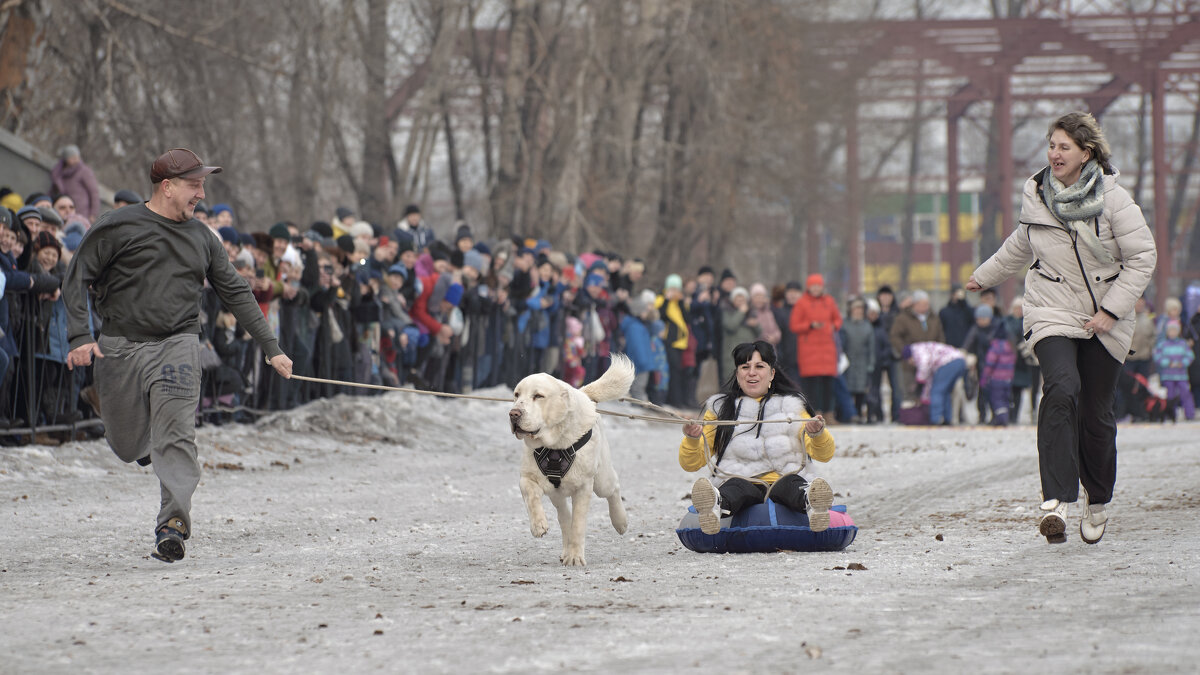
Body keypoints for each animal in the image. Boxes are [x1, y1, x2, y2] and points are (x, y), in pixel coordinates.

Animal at [508, 353, 638, 562]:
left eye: (538, 396)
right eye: (517, 395)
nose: (514, 413)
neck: (555, 444)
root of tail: (585, 395)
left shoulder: (584, 487)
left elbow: (578, 524)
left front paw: (575, 557)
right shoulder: (527, 477)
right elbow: (531, 495)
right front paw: (538, 525)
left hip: (602, 480)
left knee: (613, 488)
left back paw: (620, 521)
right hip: (557, 494)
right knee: (564, 517)